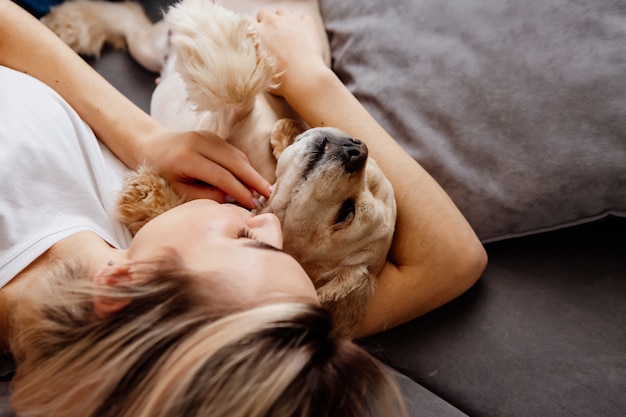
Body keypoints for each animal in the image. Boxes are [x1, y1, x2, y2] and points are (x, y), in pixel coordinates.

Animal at [42, 0, 394, 334]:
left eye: (347, 213)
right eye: (369, 167)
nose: (356, 149)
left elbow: (235, 95)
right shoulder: (228, 122)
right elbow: (239, 93)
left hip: (147, 47)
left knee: (130, 21)